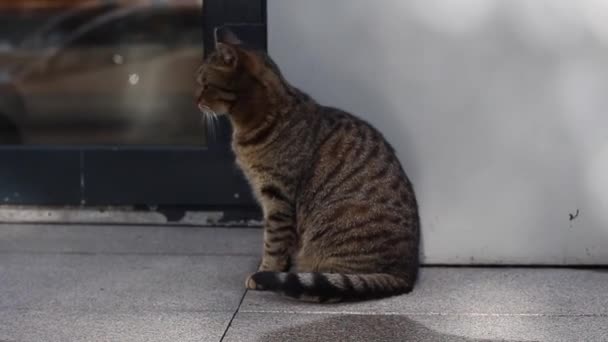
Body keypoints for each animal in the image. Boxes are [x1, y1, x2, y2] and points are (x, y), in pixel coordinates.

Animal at [197, 27, 420, 302]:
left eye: (205, 84)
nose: (195, 100)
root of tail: (404, 277)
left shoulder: (278, 197)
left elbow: (273, 242)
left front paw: (265, 272)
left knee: (328, 284)